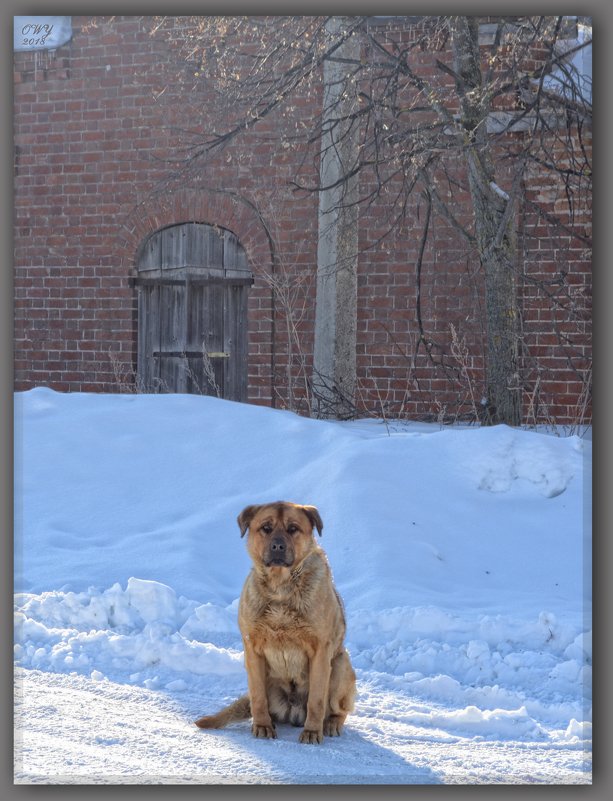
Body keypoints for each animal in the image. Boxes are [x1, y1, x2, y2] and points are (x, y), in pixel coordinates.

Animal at [194, 500, 356, 744]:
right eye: (266, 528)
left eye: (293, 528)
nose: (278, 546)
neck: (281, 587)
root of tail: (292, 711)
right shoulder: (253, 650)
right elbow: (258, 696)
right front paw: (262, 726)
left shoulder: (320, 650)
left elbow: (316, 699)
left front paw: (312, 732)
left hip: (340, 664)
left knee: (338, 709)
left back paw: (330, 724)